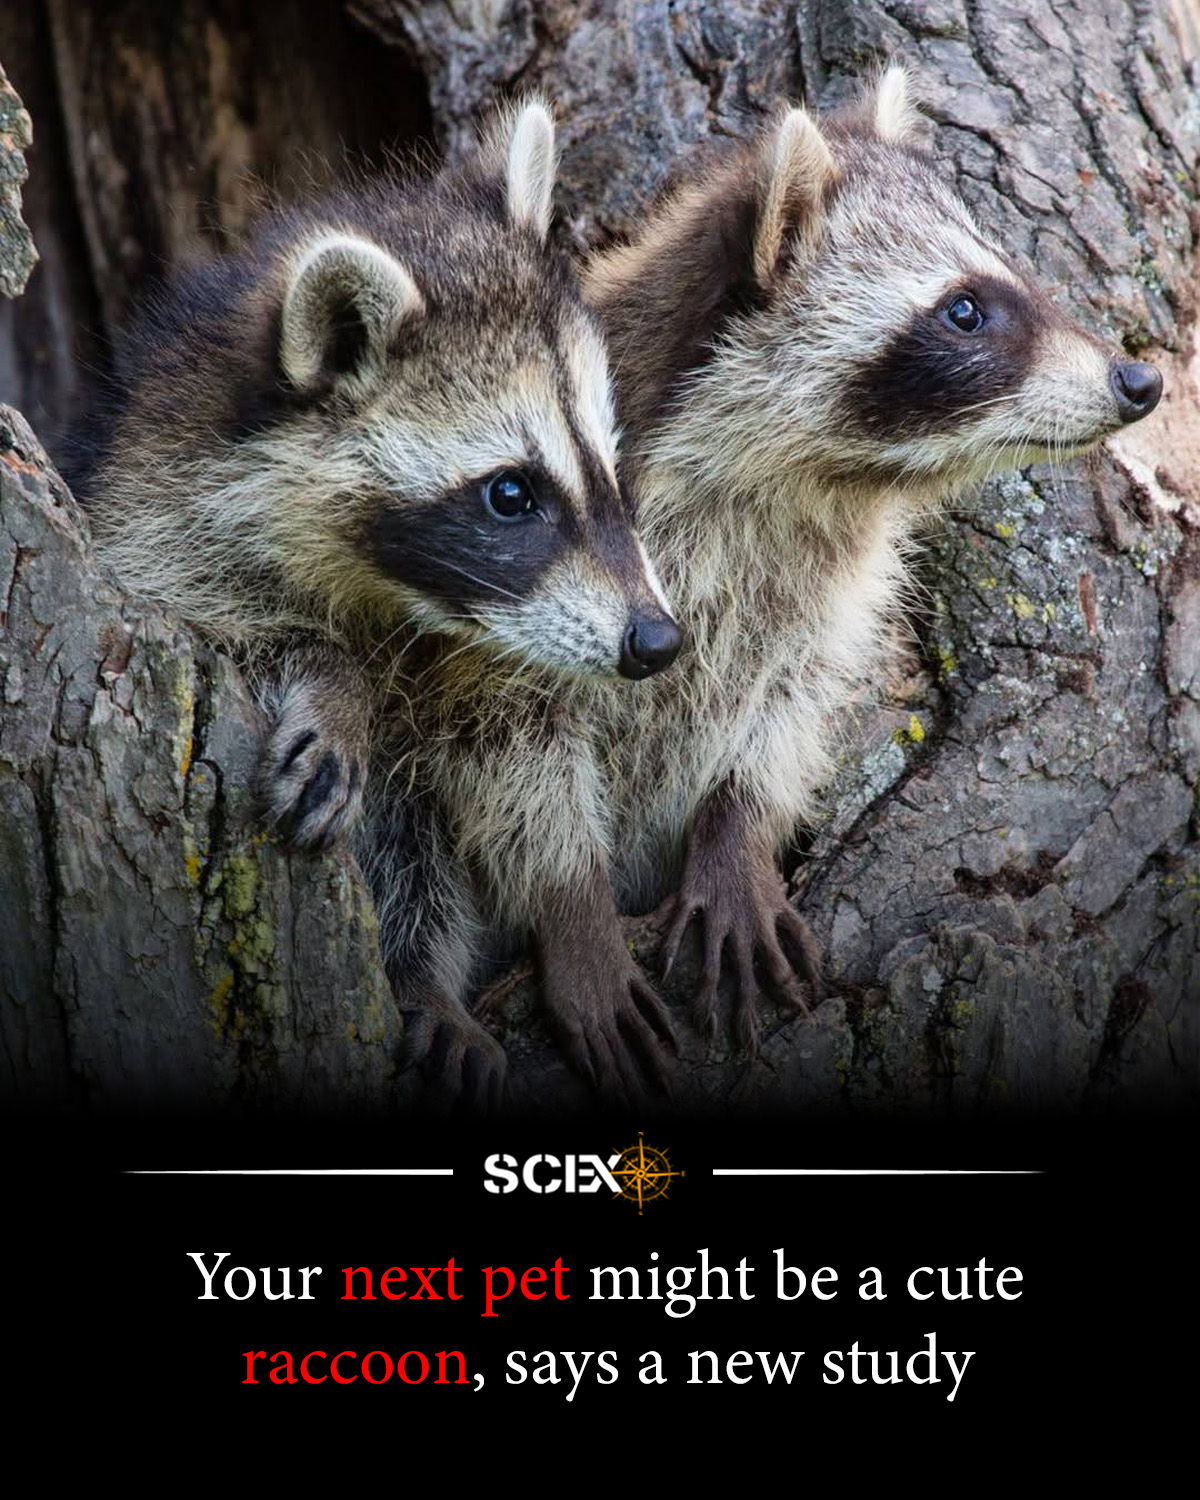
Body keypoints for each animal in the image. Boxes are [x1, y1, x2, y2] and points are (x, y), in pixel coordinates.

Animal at [75, 100, 681, 1107]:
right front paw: (335, 684)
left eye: (610, 463)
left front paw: (568, 907)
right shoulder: (155, 532)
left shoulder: (503, 644)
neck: (403, 603)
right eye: (510, 494)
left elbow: (519, 757)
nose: (657, 641)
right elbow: (224, 633)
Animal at [582, 66, 1163, 1049]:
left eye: (1015, 274)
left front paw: (736, 832)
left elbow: (789, 706)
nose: (1141, 381)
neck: (799, 487)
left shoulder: (823, 592)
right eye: (965, 311)